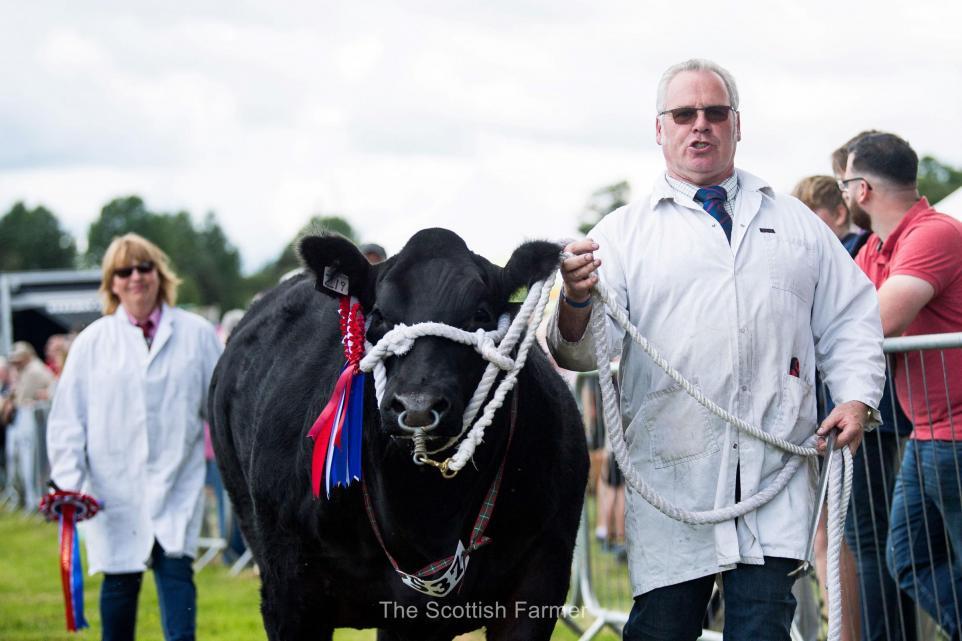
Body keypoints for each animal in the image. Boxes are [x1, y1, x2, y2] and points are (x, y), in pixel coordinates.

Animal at [207, 228, 588, 636]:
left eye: (480, 314)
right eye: (378, 315)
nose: (417, 406)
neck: (428, 511)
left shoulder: (540, 578)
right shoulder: (288, 592)